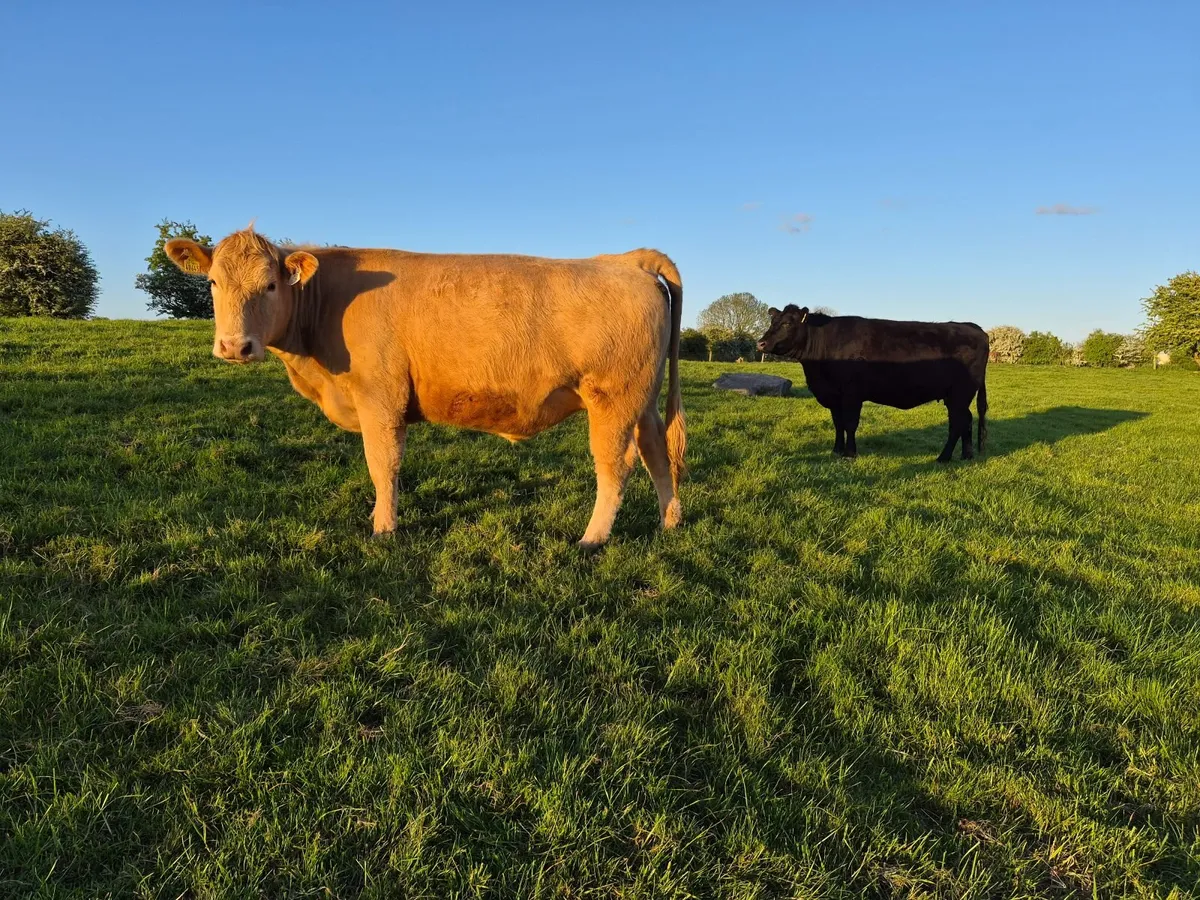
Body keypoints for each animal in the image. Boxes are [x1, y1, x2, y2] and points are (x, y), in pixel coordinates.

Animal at [164, 226, 686, 548]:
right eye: (212, 283)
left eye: (271, 285)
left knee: (616, 466)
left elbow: (383, 465)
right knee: (658, 453)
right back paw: (669, 522)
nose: (234, 346)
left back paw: (592, 538)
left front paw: (383, 529)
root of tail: (628, 261)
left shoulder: (380, 398)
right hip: (643, 401)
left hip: (613, 399)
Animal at [756, 305, 988, 462]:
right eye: (772, 322)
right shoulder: (833, 396)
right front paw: (836, 450)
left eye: (787, 323)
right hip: (956, 396)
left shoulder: (851, 394)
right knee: (967, 420)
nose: (761, 343)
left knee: (957, 423)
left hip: (960, 393)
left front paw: (850, 453)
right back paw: (966, 455)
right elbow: (838, 423)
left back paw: (943, 457)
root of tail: (974, 328)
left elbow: (850, 423)